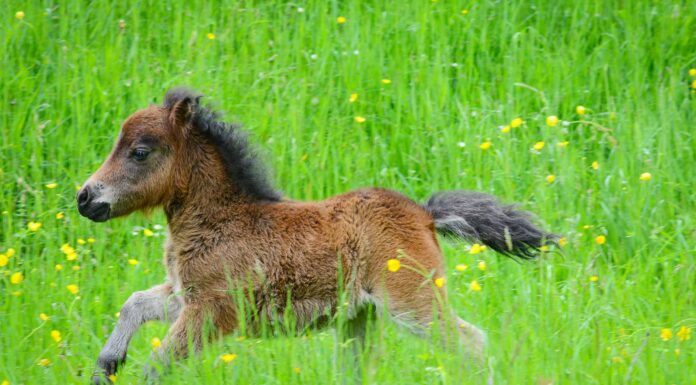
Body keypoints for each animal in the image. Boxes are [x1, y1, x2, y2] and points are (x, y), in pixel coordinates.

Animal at [76, 89, 556, 380]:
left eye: (140, 152)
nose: (85, 198)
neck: (222, 219)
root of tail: (423, 214)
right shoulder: (186, 296)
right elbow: (134, 304)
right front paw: (106, 365)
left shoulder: (211, 310)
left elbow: (157, 365)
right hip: (361, 318)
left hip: (413, 303)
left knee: (471, 342)